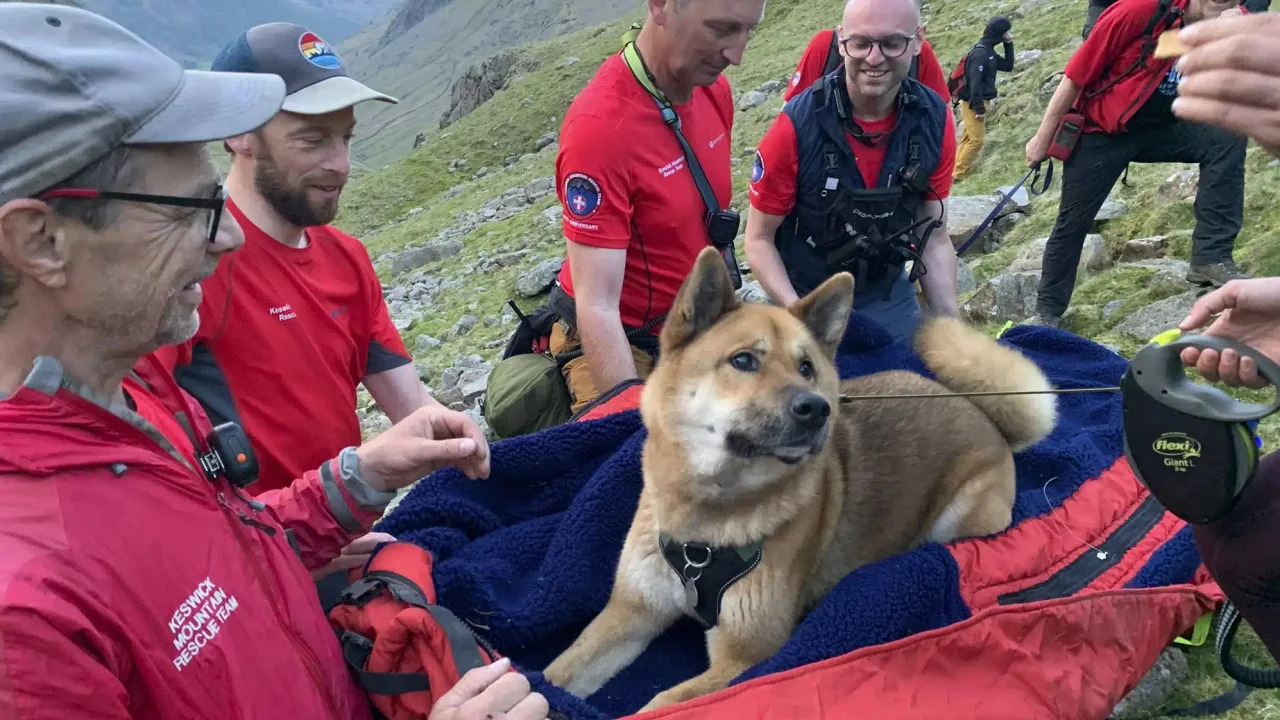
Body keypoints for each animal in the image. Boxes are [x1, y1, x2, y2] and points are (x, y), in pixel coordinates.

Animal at [545, 249, 1054, 707]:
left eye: (807, 367)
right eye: (743, 361)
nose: (817, 408)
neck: (704, 523)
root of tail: (982, 413)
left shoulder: (744, 657)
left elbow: (659, 704)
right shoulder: (631, 612)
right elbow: (558, 672)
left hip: (963, 517)